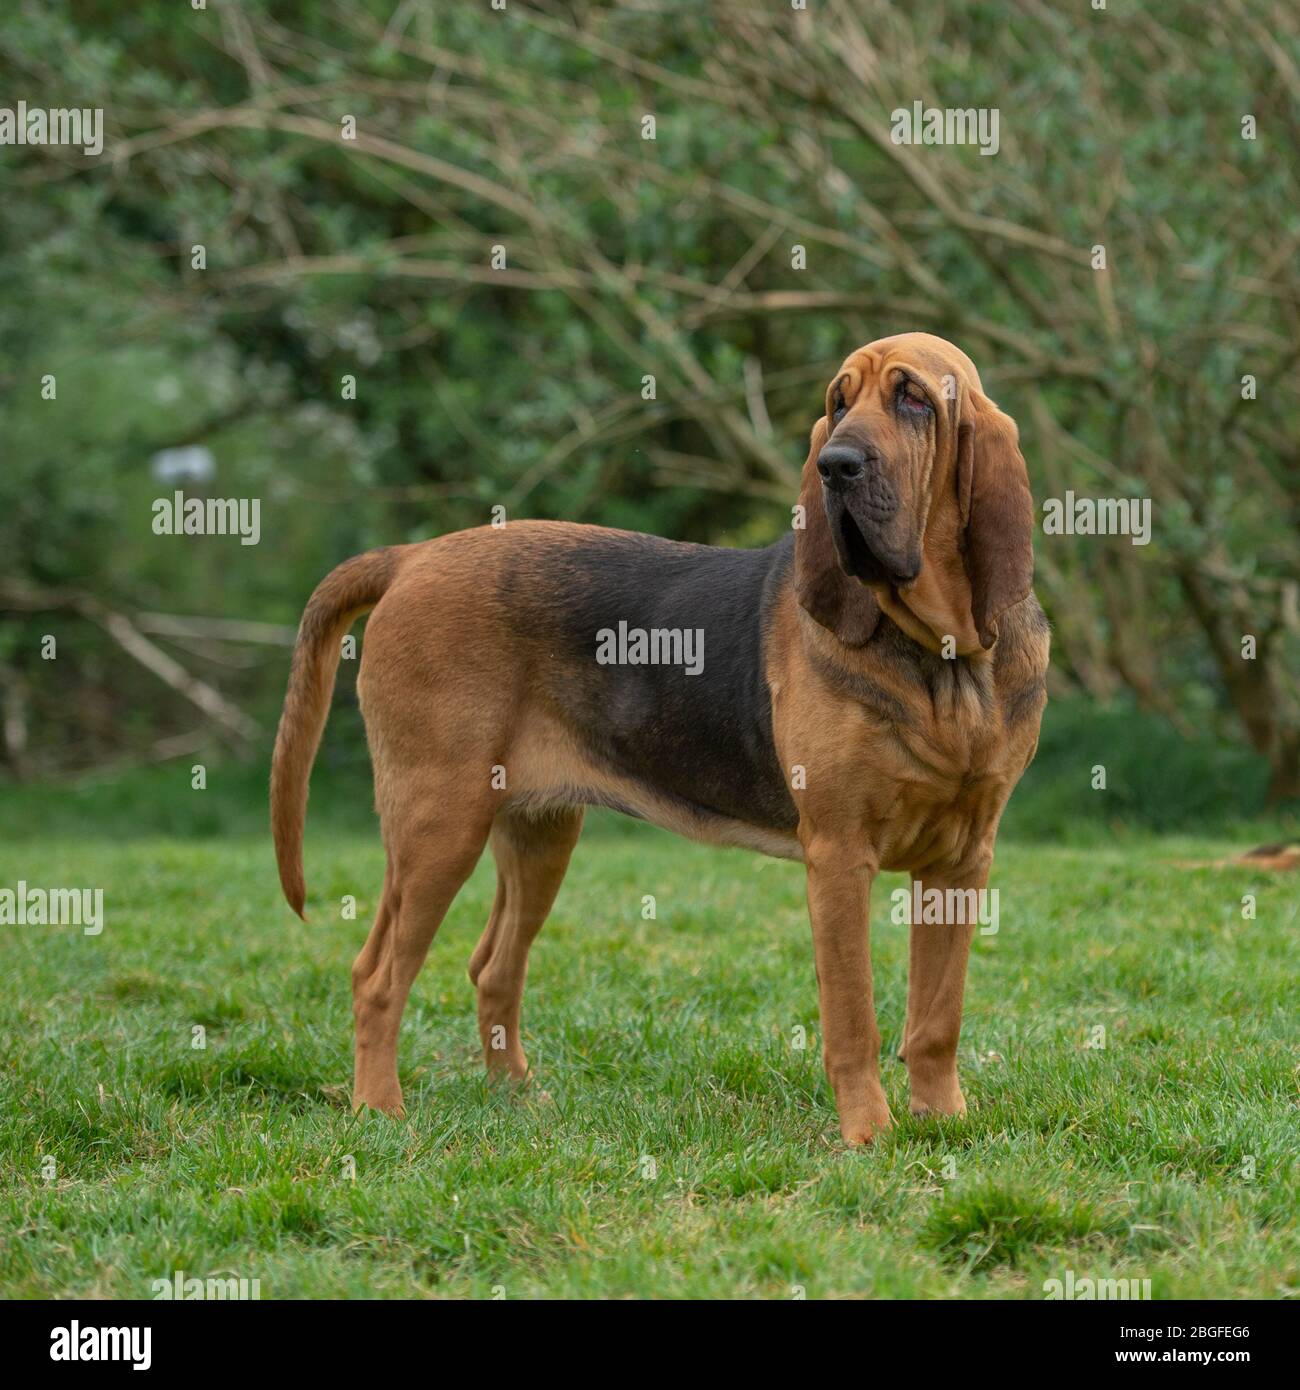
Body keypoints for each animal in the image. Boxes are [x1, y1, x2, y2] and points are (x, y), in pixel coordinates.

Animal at [272, 333, 1045, 1139]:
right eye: (838, 403)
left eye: (914, 399)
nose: (836, 465)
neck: (941, 659)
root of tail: (411, 557)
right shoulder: (839, 856)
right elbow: (853, 1020)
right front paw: (870, 1134)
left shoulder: (962, 862)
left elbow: (937, 1016)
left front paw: (945, 1121)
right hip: (437, 830)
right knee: (377, 975)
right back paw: (378, 1109)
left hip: (540, 833)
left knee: (493, 967)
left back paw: (515, 1096)